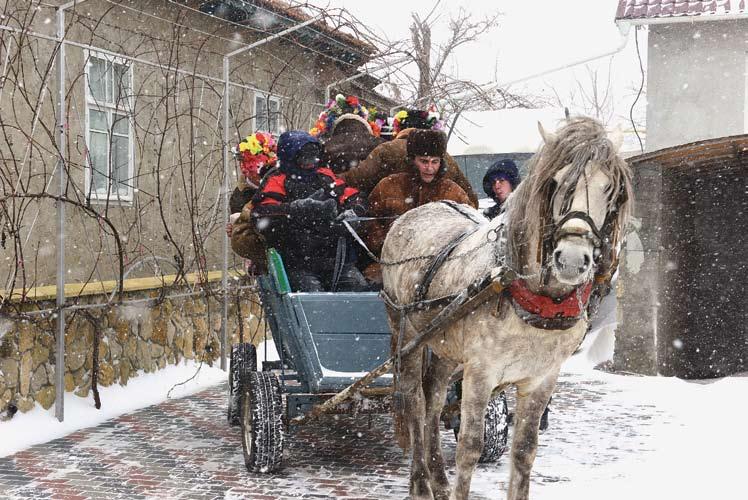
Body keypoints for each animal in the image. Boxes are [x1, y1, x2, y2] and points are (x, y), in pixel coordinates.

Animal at [380, 117, 632, 500]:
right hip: (408, 335)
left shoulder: (542, 377)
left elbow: (525, 449)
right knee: (415, 402)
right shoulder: (481, 371)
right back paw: (421, 483)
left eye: (610, 189)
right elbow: (470, 448)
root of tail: (416, 212)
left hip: (446, 348)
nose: (572, 260)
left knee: (434, 400)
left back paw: (437, 479)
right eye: (556, 183)